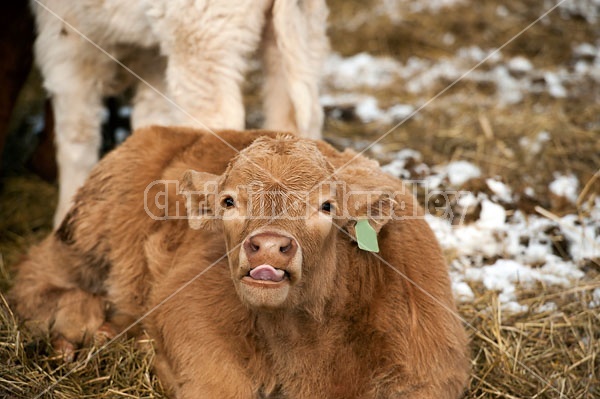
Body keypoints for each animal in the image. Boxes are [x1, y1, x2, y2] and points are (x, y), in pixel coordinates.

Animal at [31, 0, 328, 227]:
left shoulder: (66, 34)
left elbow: (76, 133)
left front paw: (65, 219)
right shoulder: (151, 55)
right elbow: (151, 121)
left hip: (203, 31)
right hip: (301, 29)